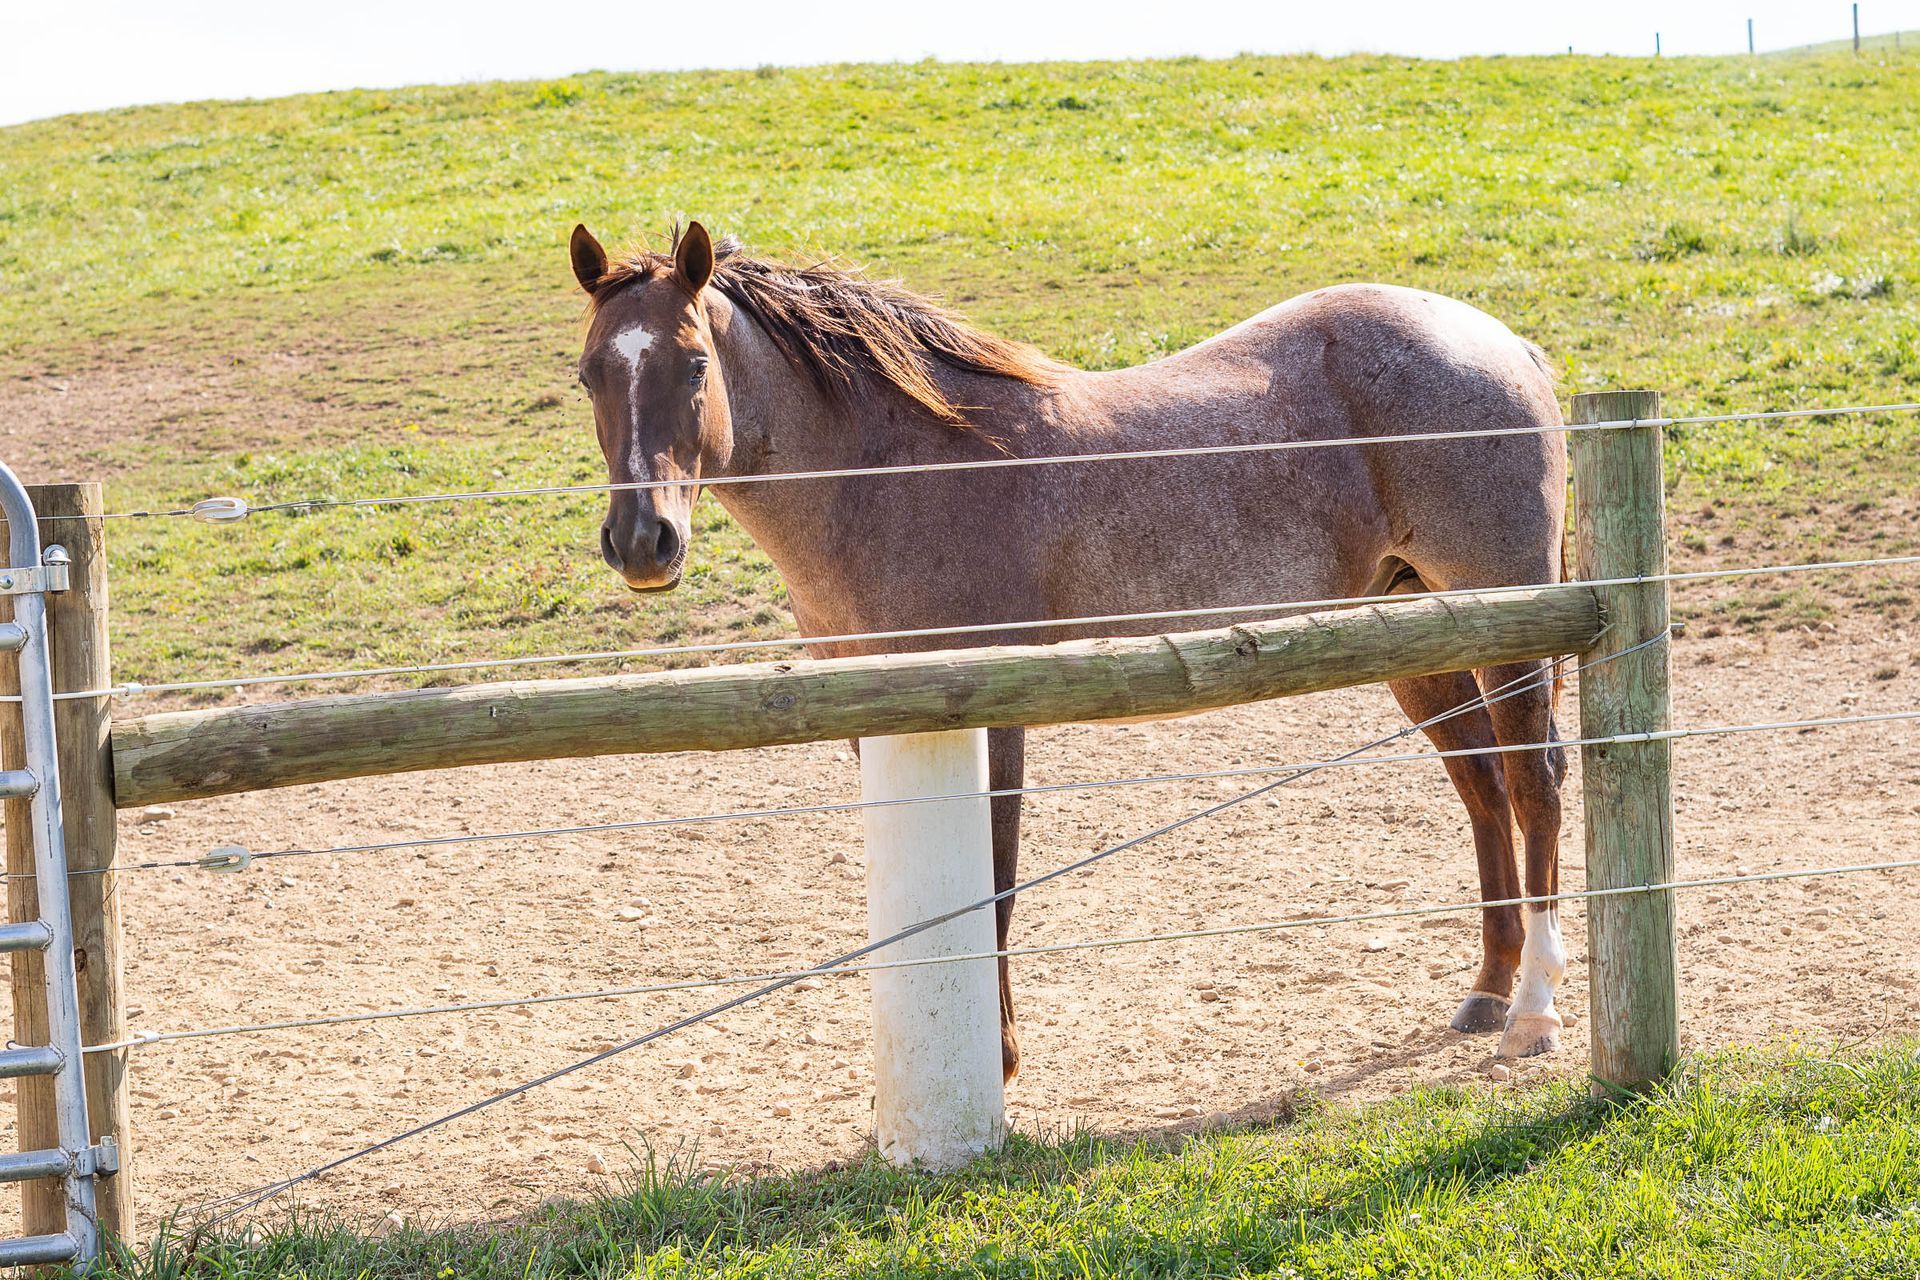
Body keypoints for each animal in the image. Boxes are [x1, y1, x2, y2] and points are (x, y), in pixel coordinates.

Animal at [566, 220, 1571, 1071]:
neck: (895, 471)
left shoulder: (991, 716)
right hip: (1421, 635)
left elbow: (994, 883)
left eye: (696, 363)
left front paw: (1001, 1060)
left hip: (1505, 629)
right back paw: (1486, 990)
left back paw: (1533, 1014)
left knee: (1535, 783)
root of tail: (1509, 345)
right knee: (1484, 788)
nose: (643, 542)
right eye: (588, 375)